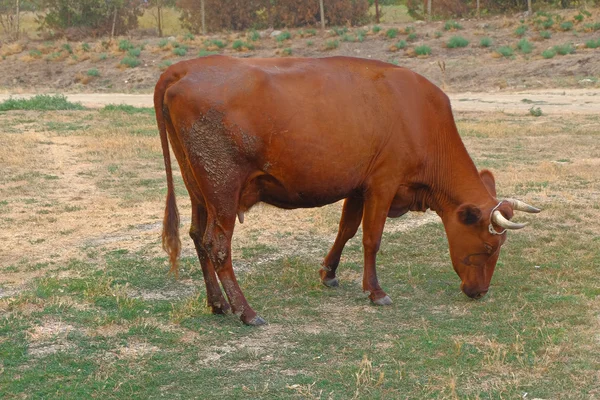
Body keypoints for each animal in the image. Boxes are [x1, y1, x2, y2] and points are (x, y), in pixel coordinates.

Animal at [154, 55, 540, 324]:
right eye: (489, 247)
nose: (479, 292)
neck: (420, 117)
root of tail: (182, 68)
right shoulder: (384, 183)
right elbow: (371, 238)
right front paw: (376, 291)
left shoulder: (358, 186)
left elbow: (347, 230)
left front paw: (329, 273)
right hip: (223, 188)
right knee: (217, 245)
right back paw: (245, 311)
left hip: (198, 187)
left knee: (197, 236)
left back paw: (217, 303)